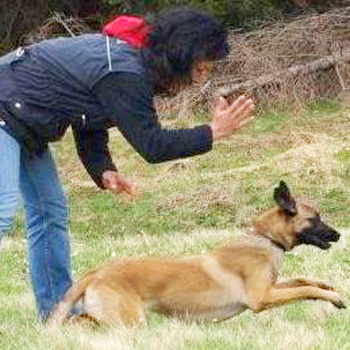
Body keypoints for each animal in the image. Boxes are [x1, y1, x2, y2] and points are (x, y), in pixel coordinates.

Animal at [48, 182, 344, 326]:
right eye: (315, 218)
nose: (339, 234)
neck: (264, 239)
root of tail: (97, 272)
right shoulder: (261, 298)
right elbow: (304, 290)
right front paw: (335, 298)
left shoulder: (270, 287)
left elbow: (303, 280)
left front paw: (327, 286)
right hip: (129, 321)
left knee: (76, 321)